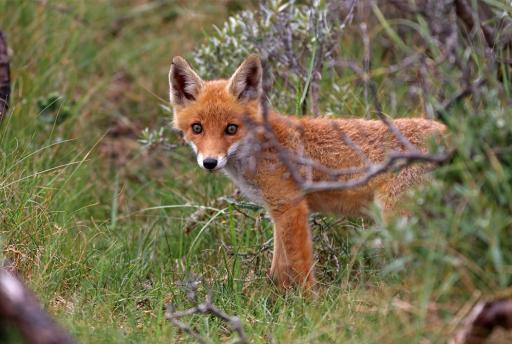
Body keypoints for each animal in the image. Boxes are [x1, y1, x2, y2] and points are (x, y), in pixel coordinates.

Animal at [167, 54, 444, 290]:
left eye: (231, 129)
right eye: (197, 128)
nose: (210, 162)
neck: (261, 148)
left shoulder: (292, 207)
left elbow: (299, 267)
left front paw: (307, 302)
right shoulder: (277, 210)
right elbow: (278, 267)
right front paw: (274, 298)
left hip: (395, 218)